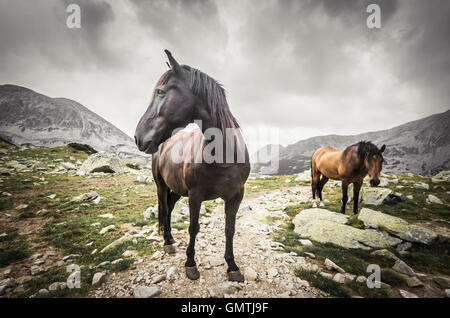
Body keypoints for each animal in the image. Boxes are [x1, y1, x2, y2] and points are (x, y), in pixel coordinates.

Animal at [135, 51, 251, 282]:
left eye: (160, 92)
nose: (138, 137)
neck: (223, 155)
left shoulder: (236, 196)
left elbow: (230, 229)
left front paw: (232, 266)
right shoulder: (195, 196)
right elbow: (193, 228)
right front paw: (190, 263)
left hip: (178, 191)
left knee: (169, 208)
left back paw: (170, 238)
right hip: (162, 186)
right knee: (164, 208)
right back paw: (168, 242)